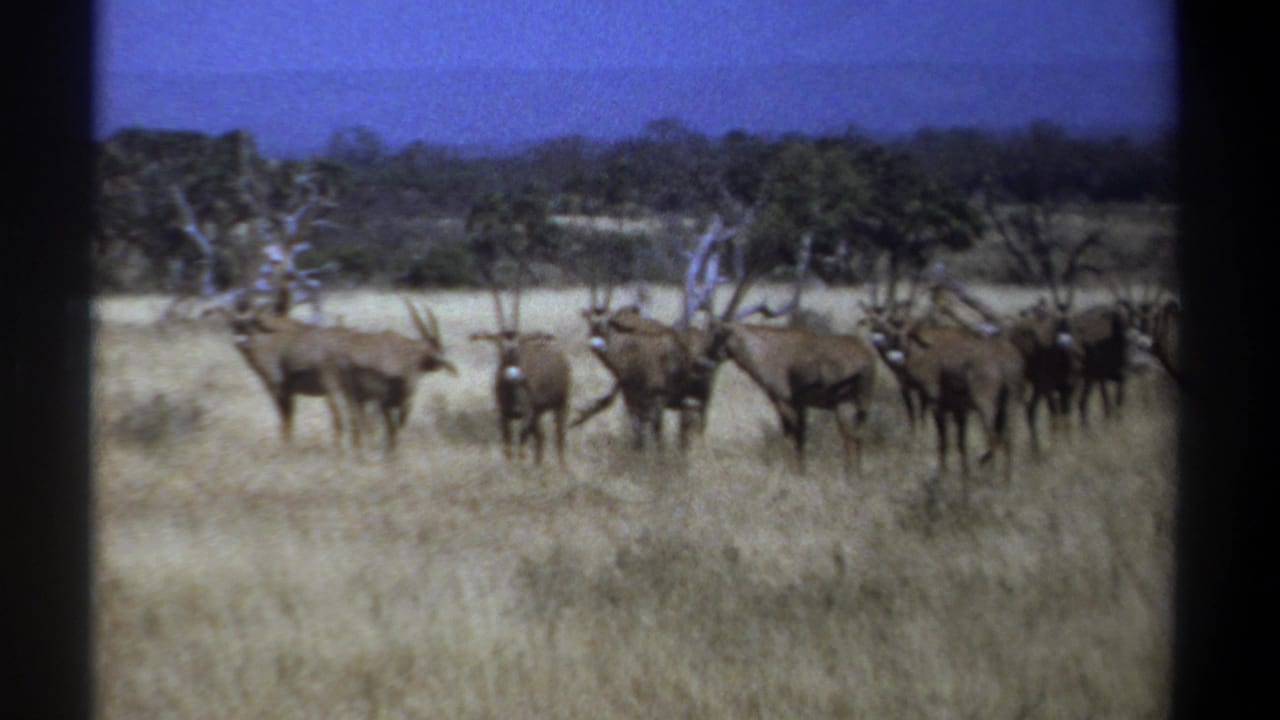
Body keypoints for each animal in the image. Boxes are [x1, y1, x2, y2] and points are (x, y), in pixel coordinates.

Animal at [471, 276, 572, 467]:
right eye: (499, 345)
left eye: (519, 344)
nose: (513, 375)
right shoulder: (505, 417)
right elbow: (509, 448)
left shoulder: (526, 415)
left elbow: (521, 446)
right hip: (538, 414)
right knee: (541, 438)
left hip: (560, 405)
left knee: (559, 438)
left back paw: (562, 467)